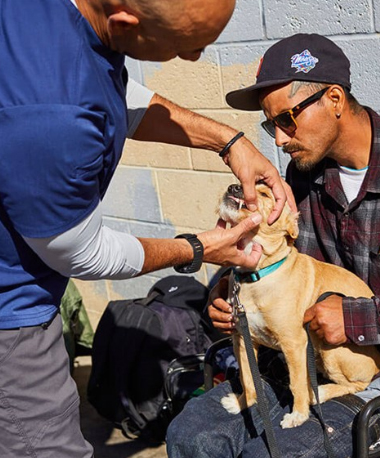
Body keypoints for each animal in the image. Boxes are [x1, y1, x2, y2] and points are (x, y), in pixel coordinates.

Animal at [217, 182, 380, 430]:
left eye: (265, 194)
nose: (234, 186)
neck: (255, 276)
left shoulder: (293, 343)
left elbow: (296, 384)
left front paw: (298, 415)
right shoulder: (243, 340)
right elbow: (248, 379)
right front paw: (242, 403)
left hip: (332, 348)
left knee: (356, 385)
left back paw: (320, 393)